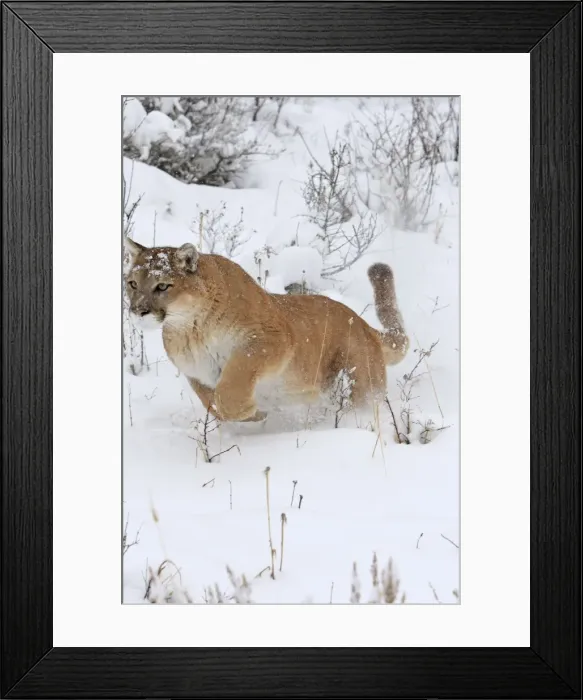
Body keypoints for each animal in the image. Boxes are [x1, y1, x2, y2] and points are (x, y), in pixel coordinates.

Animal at [124, 238, 409, 423]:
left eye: (162, 286)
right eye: (132, 283)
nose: (138, 310)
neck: (190, 330)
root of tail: (364, 324)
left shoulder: (271, 339)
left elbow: (234, 378)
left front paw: (246, 407)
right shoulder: (196, 372)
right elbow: (211, 401)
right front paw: (255, 414)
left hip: (359, 384)